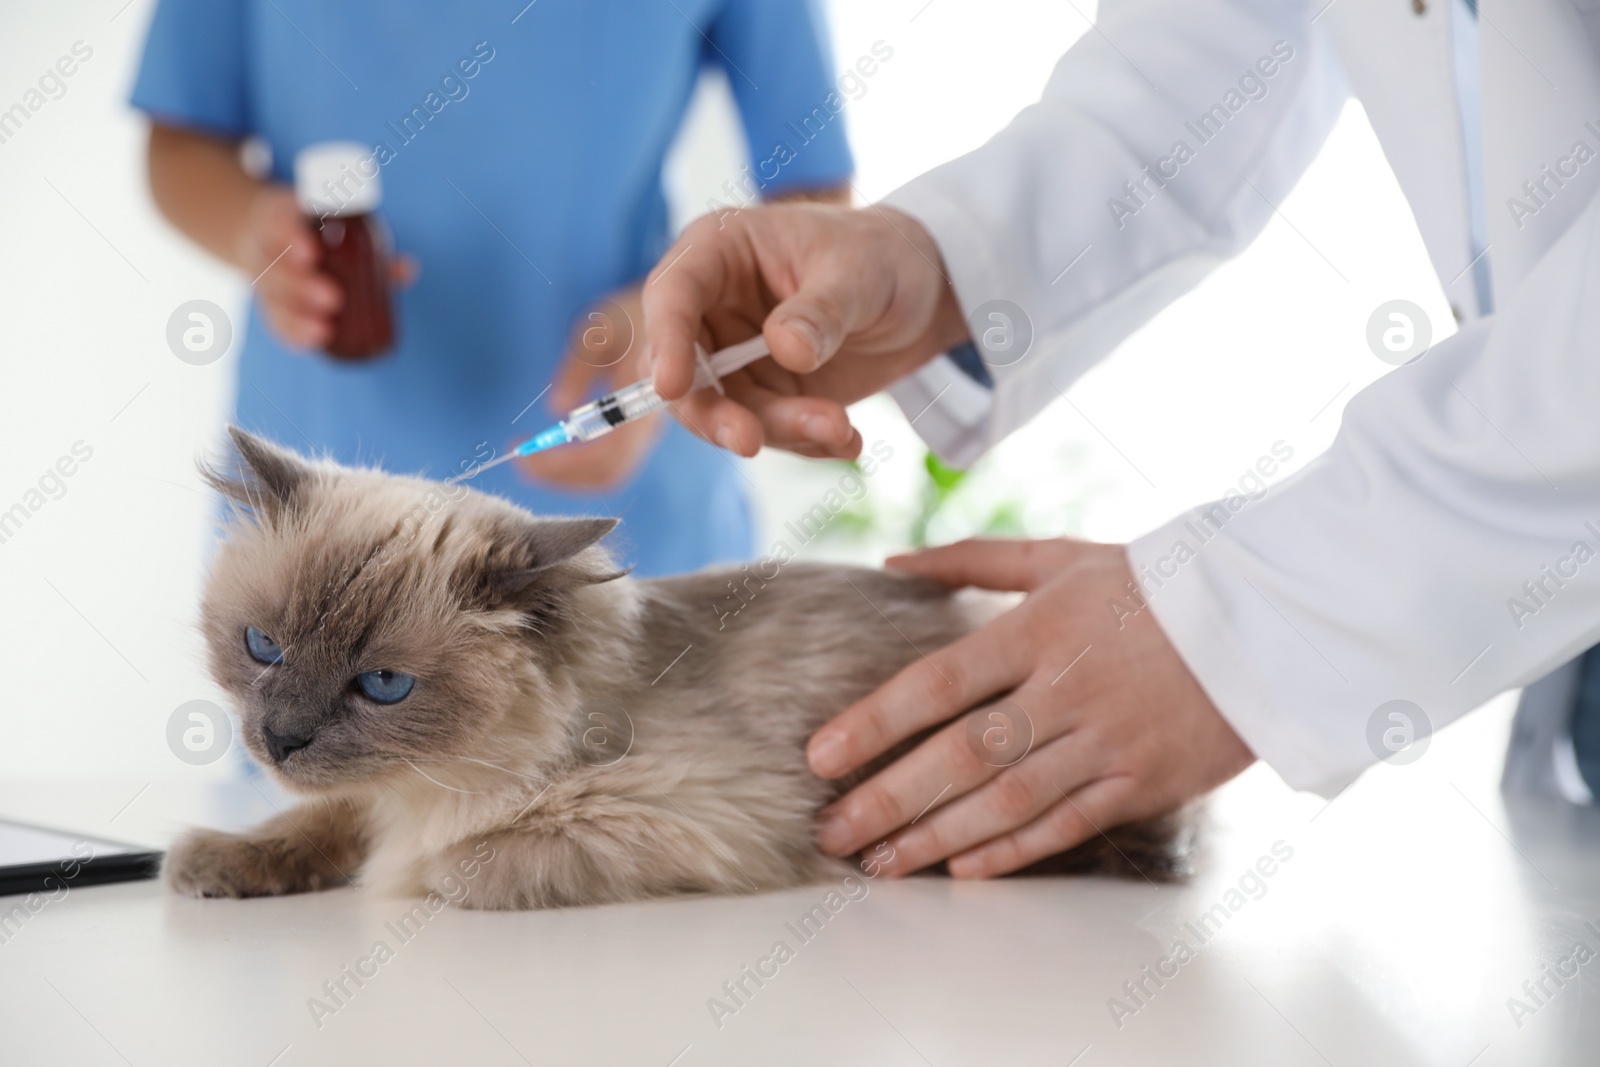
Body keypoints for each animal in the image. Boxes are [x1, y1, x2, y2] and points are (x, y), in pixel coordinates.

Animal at [165, 425, 1190, 908]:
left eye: (382, 684)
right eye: (264, 647)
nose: (280, 739)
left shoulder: (701, 814)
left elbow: (453, 864)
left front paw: (402, 872)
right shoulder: (368, 792)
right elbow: (313, 821)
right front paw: (215, 862)